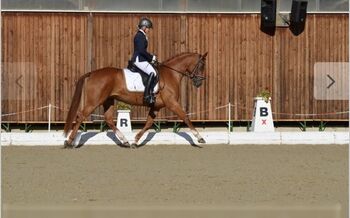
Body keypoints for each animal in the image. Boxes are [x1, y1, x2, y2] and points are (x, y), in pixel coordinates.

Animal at [63, 52, 206, 148]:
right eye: (201, 65)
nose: (199, 83)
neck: (171, 74)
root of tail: (92, 73)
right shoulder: (172, 103)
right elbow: (185, 117)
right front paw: (200, 138)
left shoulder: (156, 106)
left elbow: (148, 124)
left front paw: (135, 141)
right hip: (94, 101)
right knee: (81, 116)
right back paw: (69, 141)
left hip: (108, 100)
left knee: (108, 119)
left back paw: (125, 141)